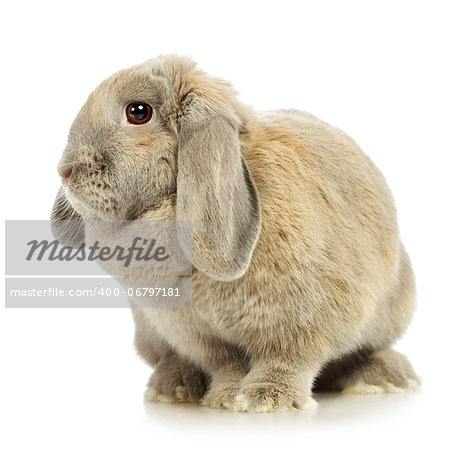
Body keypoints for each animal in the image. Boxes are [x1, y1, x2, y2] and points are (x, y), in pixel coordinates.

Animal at [51, 54, 418, 414]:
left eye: (138, 112)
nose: (65, 171)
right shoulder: (198, 336)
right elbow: (228, 365)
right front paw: (227, 397)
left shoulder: (306, 322)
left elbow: (289, 359)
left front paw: (266, 399)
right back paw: (175, 387)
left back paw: (383, 378)